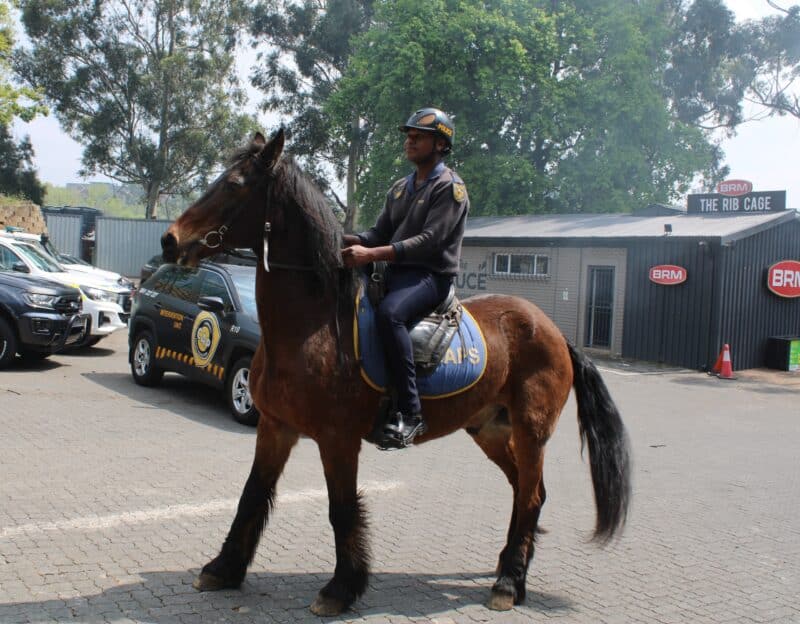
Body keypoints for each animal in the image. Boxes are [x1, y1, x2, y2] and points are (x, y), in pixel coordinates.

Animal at [161, 129, 631, 616]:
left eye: (235, 185)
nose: (170, 241)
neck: (311, 326)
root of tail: (555, 331)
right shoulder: (275, 427)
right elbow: (251, 495)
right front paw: (223, 568)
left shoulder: (338, 439)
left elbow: (342, 509)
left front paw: (341, 589)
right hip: (491, 430)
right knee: (526, 493)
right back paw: (509, 570)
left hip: (531, 430)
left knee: (531, 494)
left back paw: (508, 582)